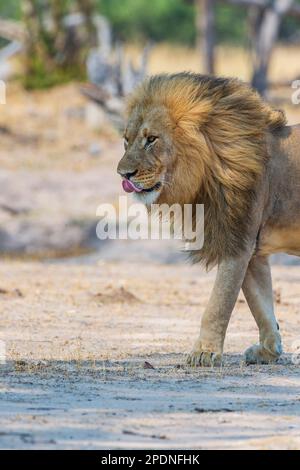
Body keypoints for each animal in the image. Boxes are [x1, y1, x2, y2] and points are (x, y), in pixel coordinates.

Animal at [117, 72, 300, 368]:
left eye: (152, 139)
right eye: (126, 140)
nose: (123, 174)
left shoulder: (238, 243)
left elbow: (218, 304)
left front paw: (204, 352)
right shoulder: (246, 246)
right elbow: (261, 305)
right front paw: (268, 350)